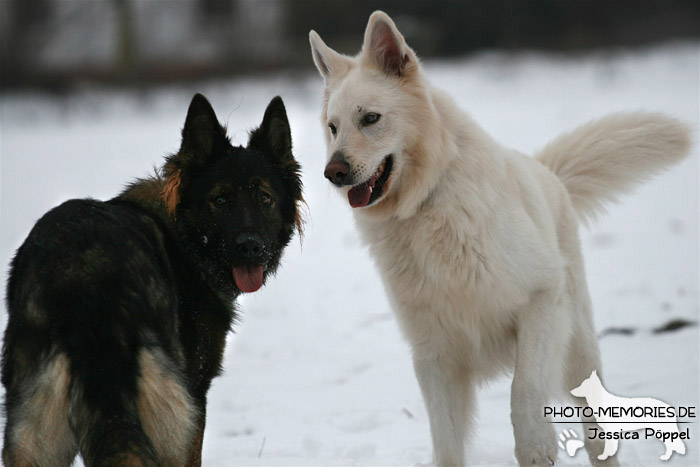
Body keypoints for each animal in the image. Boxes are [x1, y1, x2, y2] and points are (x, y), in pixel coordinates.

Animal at [2, 93, 304, 466]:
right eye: (220, 200)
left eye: (265, 199)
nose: (251, 248)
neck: (185, 239)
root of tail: (83, 274)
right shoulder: (195, 391)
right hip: (173, 412)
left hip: (31, 428)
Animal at [310, 11, 688, 467]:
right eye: (333, 128)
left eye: (370, 118)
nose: (333, 172)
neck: (425, 207)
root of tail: (548, 172)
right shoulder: (433, 354)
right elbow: (446, 444)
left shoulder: (541, 300)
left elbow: (523, 389)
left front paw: (535, 447)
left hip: (577, 349)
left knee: (596, 429)